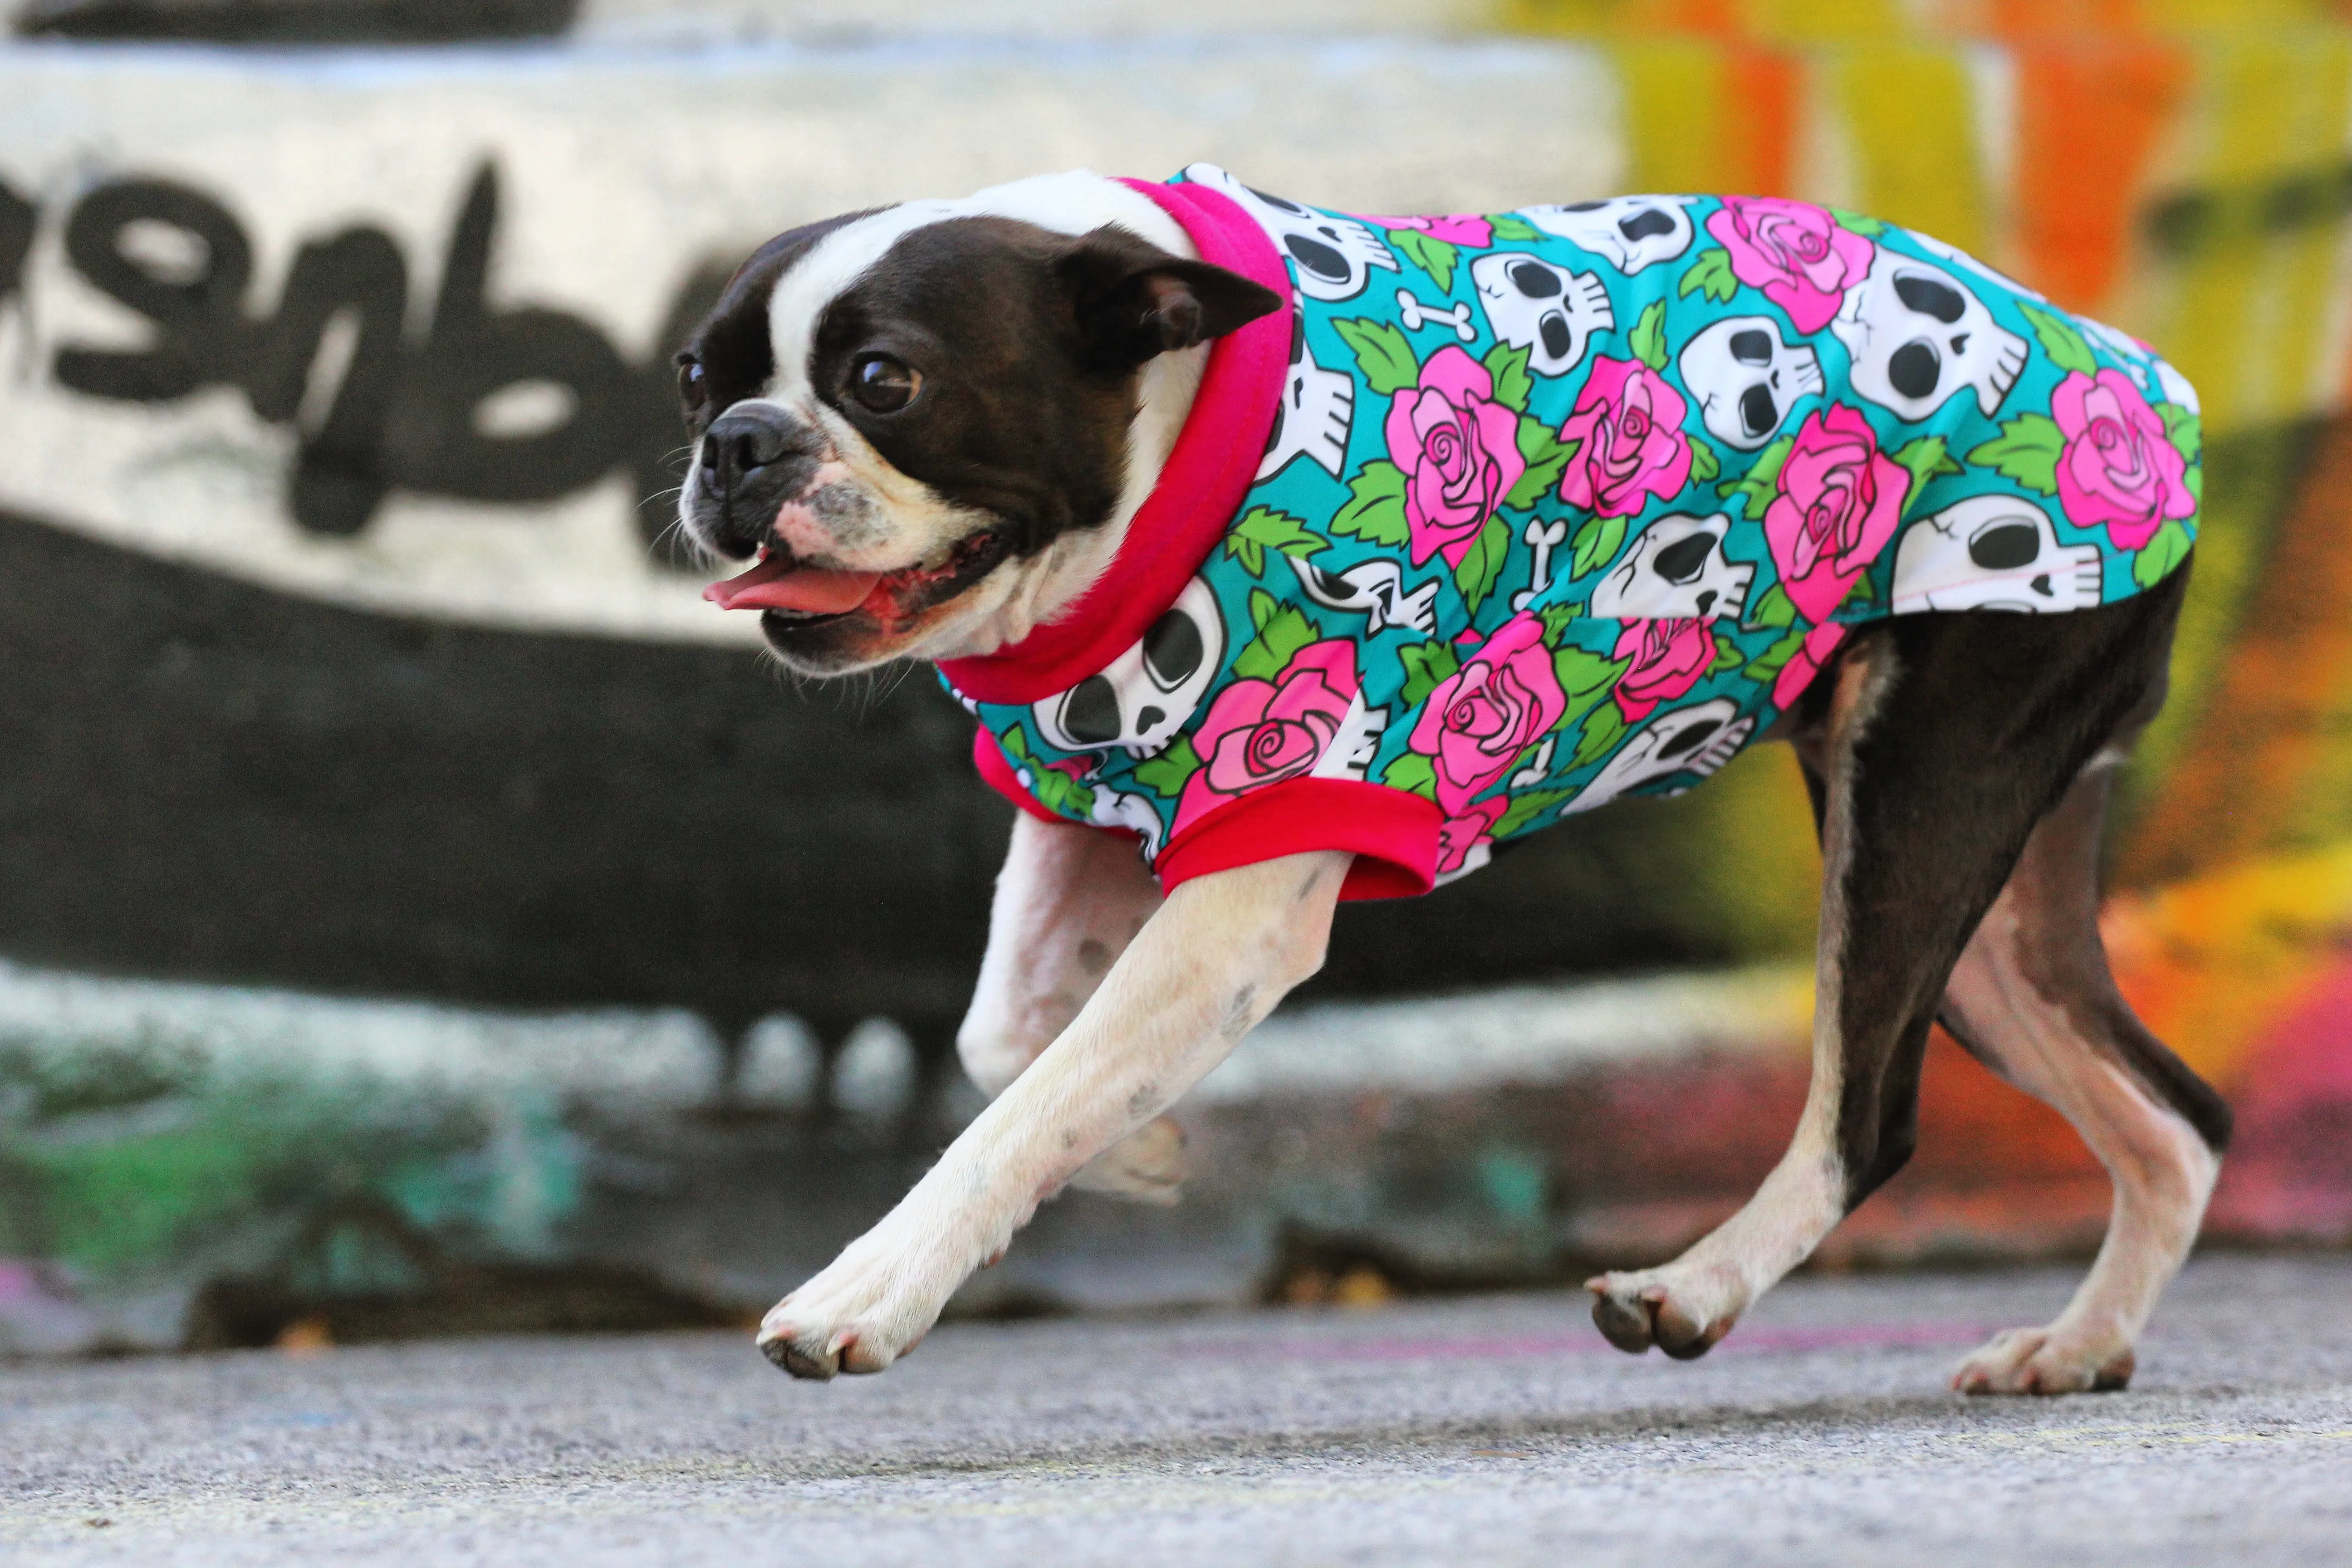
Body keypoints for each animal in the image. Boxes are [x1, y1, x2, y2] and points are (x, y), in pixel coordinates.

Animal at [668, 172, 2220, 1401]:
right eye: (692, 376)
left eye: (887, 382)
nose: (738, 443)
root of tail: (2143, 373)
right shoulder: (1089, 798)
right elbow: (1010, 1038)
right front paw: (1149, 1155)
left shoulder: (1248, 887)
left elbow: (1019, 1110)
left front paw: (871, 1289)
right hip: (1990, 909)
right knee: (2178, 1119)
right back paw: (2080, 1344)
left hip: (1916, 801)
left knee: (1870, 1117)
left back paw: (1695, 1289)